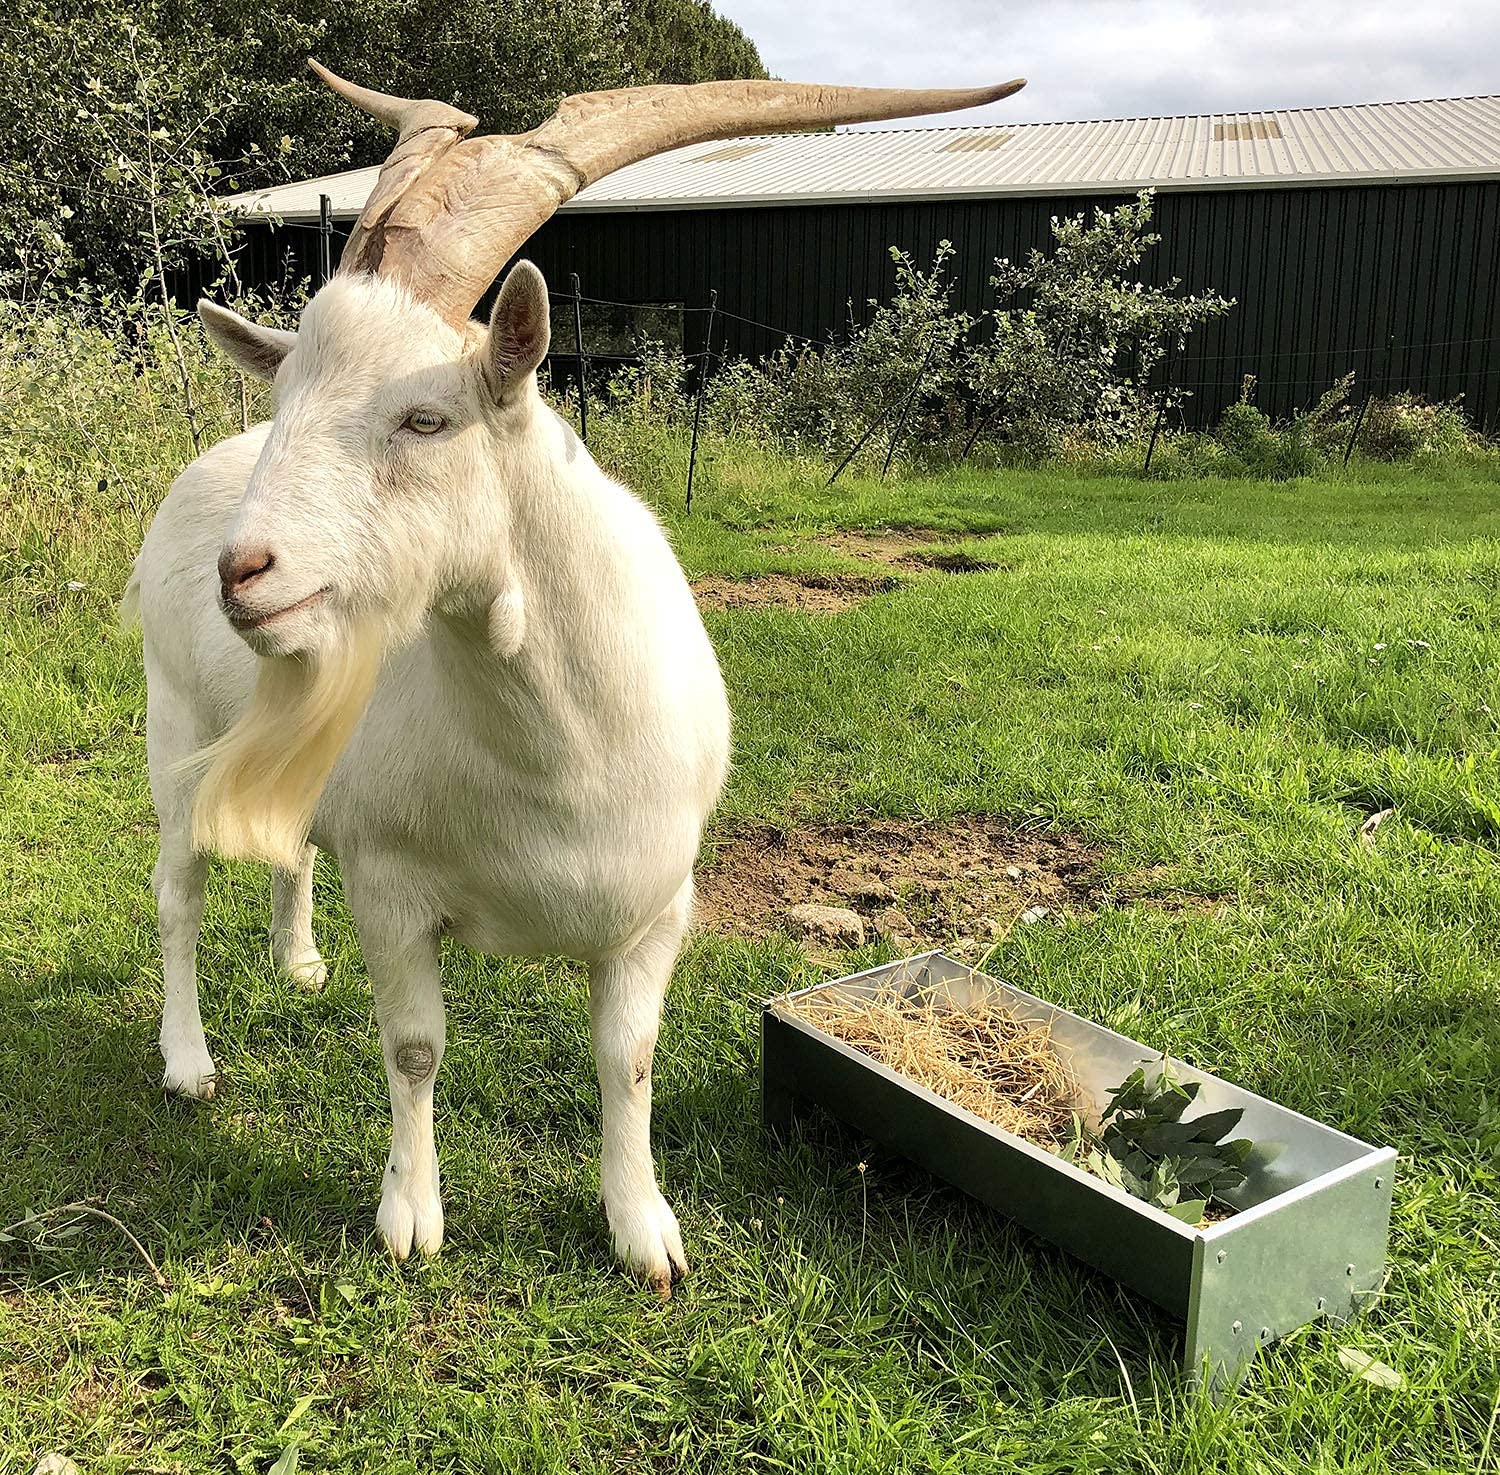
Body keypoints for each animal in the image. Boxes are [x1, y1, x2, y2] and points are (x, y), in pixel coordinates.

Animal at [128, 62, 1025, 1291]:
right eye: (285, 399)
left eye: (426, 416)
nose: (245, 573)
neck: (556, 751)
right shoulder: (394, 888)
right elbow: (415, 1047)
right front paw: (411, 1216)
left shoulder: (658, 902)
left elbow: (629, 1056)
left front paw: (646, 1233)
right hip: (174, 724)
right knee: (177, 890)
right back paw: (187, 1061)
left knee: (292, 847)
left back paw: (300, 960)